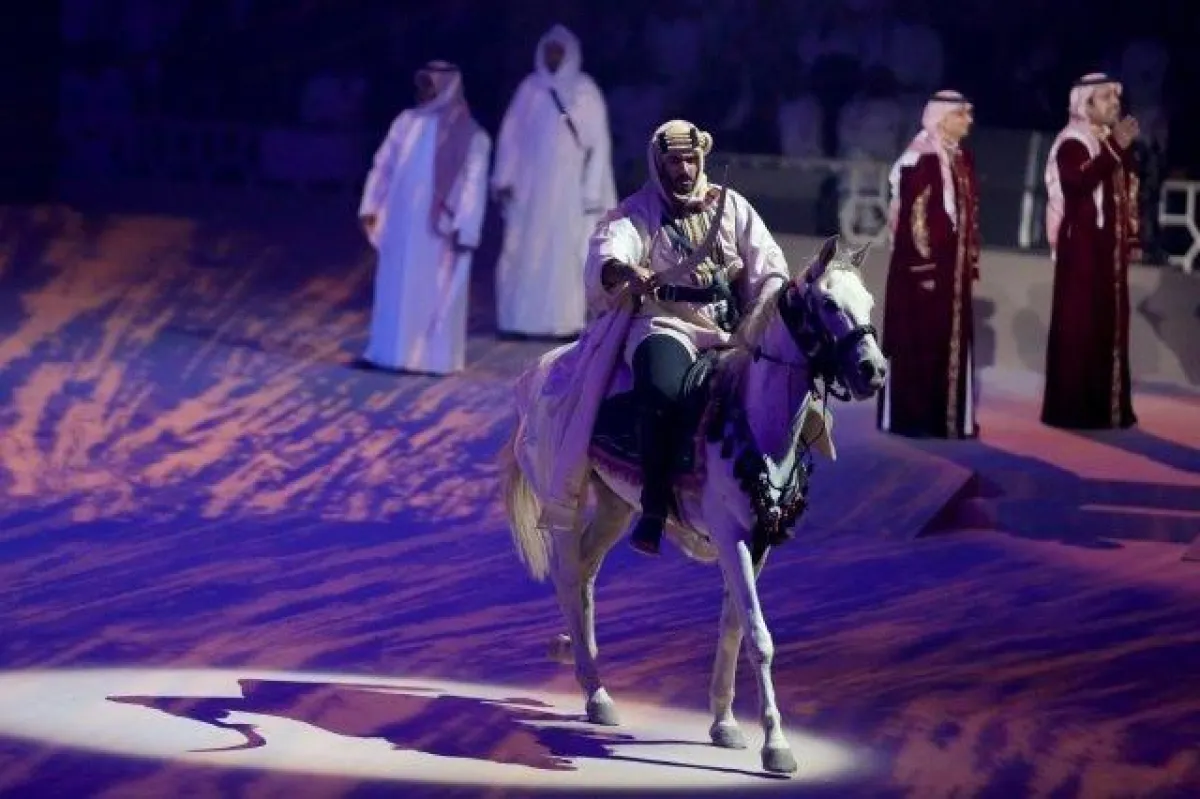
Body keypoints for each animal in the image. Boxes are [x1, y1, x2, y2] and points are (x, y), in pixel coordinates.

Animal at [500, 234, 887, 775]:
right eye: (829, 304)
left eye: (869, 303)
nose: (874, 371)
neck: (754, 422)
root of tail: (541, 373)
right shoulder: (731, 538)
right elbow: (759, 637)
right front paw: (776, 746)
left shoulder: (757, 543)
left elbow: (734, 629)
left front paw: (724, 723)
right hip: (564, 498)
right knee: (568, 575)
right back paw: (595, 691)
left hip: (616, 505)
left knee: (585, 573)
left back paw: (583, 668)